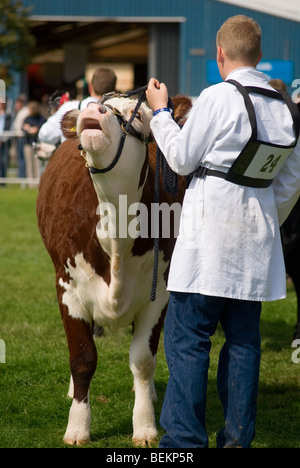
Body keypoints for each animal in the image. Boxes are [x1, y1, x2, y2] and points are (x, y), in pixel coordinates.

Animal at [35, 92, 190, 446]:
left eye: (140, 116)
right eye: (100, 104)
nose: (96, 108)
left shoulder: (158, 293)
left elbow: (143, 361)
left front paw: (145, 426)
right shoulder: (67, 288)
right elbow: (82, 357)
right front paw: (78, 426)